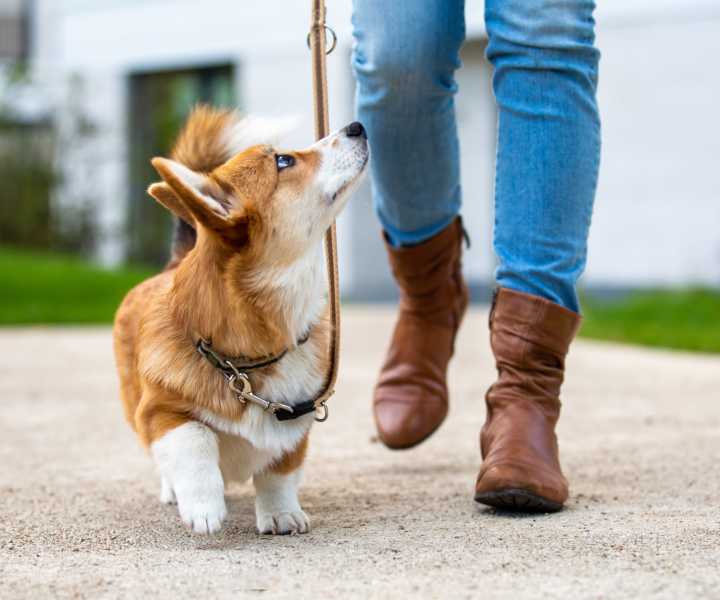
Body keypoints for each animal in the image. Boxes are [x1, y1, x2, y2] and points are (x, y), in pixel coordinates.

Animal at [114, 106, 368, 536]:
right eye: (283, 161)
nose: (357, 126)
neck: (246, 361)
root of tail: (174, 262)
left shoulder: (295, 421)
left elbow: (278, 471)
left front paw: (281, 515)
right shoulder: (159, 412)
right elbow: (195, 438)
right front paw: (203, 507)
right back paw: (174, 490)